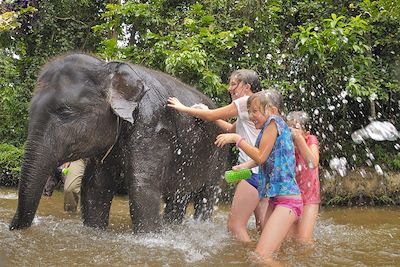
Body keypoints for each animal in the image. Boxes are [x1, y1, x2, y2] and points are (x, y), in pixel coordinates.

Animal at [9, 52, 228, 232]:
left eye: (66, 112)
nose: (11, 226)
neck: (109, 68)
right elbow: (95, 186)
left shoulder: (151, 128)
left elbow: (142, 188)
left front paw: (150, 236)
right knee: (177, 196)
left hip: (219, 155)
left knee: (206, 195)